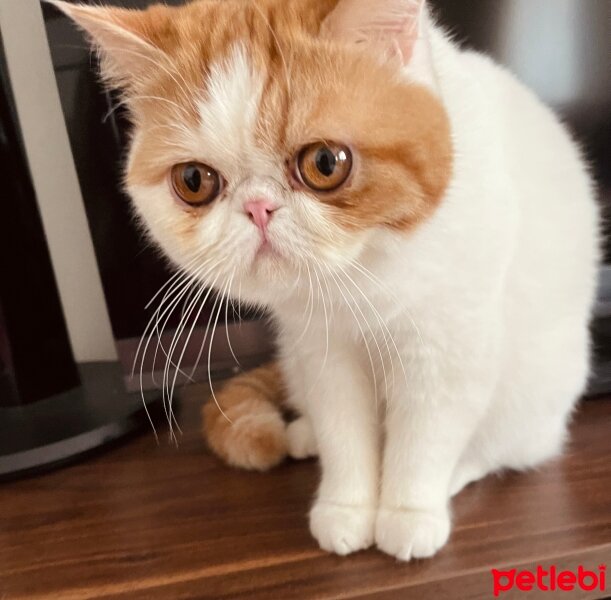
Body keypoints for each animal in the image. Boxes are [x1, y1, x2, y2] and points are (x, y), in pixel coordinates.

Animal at [53, 0, 604, 564]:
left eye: (325, 163)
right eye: (193, 181)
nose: (258, 207)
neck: (359, 277)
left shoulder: (446, 350)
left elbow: (425, 439)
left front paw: (407, 512)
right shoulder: (321, 351)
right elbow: (344, 431)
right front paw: (347, 507)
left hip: (536, 387)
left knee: (508, 447)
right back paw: (304, 435)